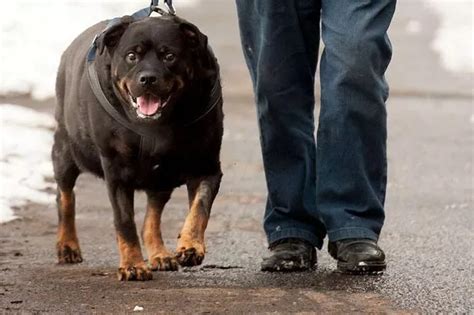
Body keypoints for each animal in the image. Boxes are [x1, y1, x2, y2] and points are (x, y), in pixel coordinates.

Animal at [52, 14, 223, 282]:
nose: (148, 78)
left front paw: (190, 246)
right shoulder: (117, 172)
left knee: (152, 215)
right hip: (65, 151)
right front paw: (132, 265)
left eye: (169, 56)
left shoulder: (206, 166)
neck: (161, 125)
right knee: (65, 196)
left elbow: (200, 208)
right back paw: (67, 246)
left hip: (161, 178)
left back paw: (160, 254)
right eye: (132, 56)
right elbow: (124, 222)